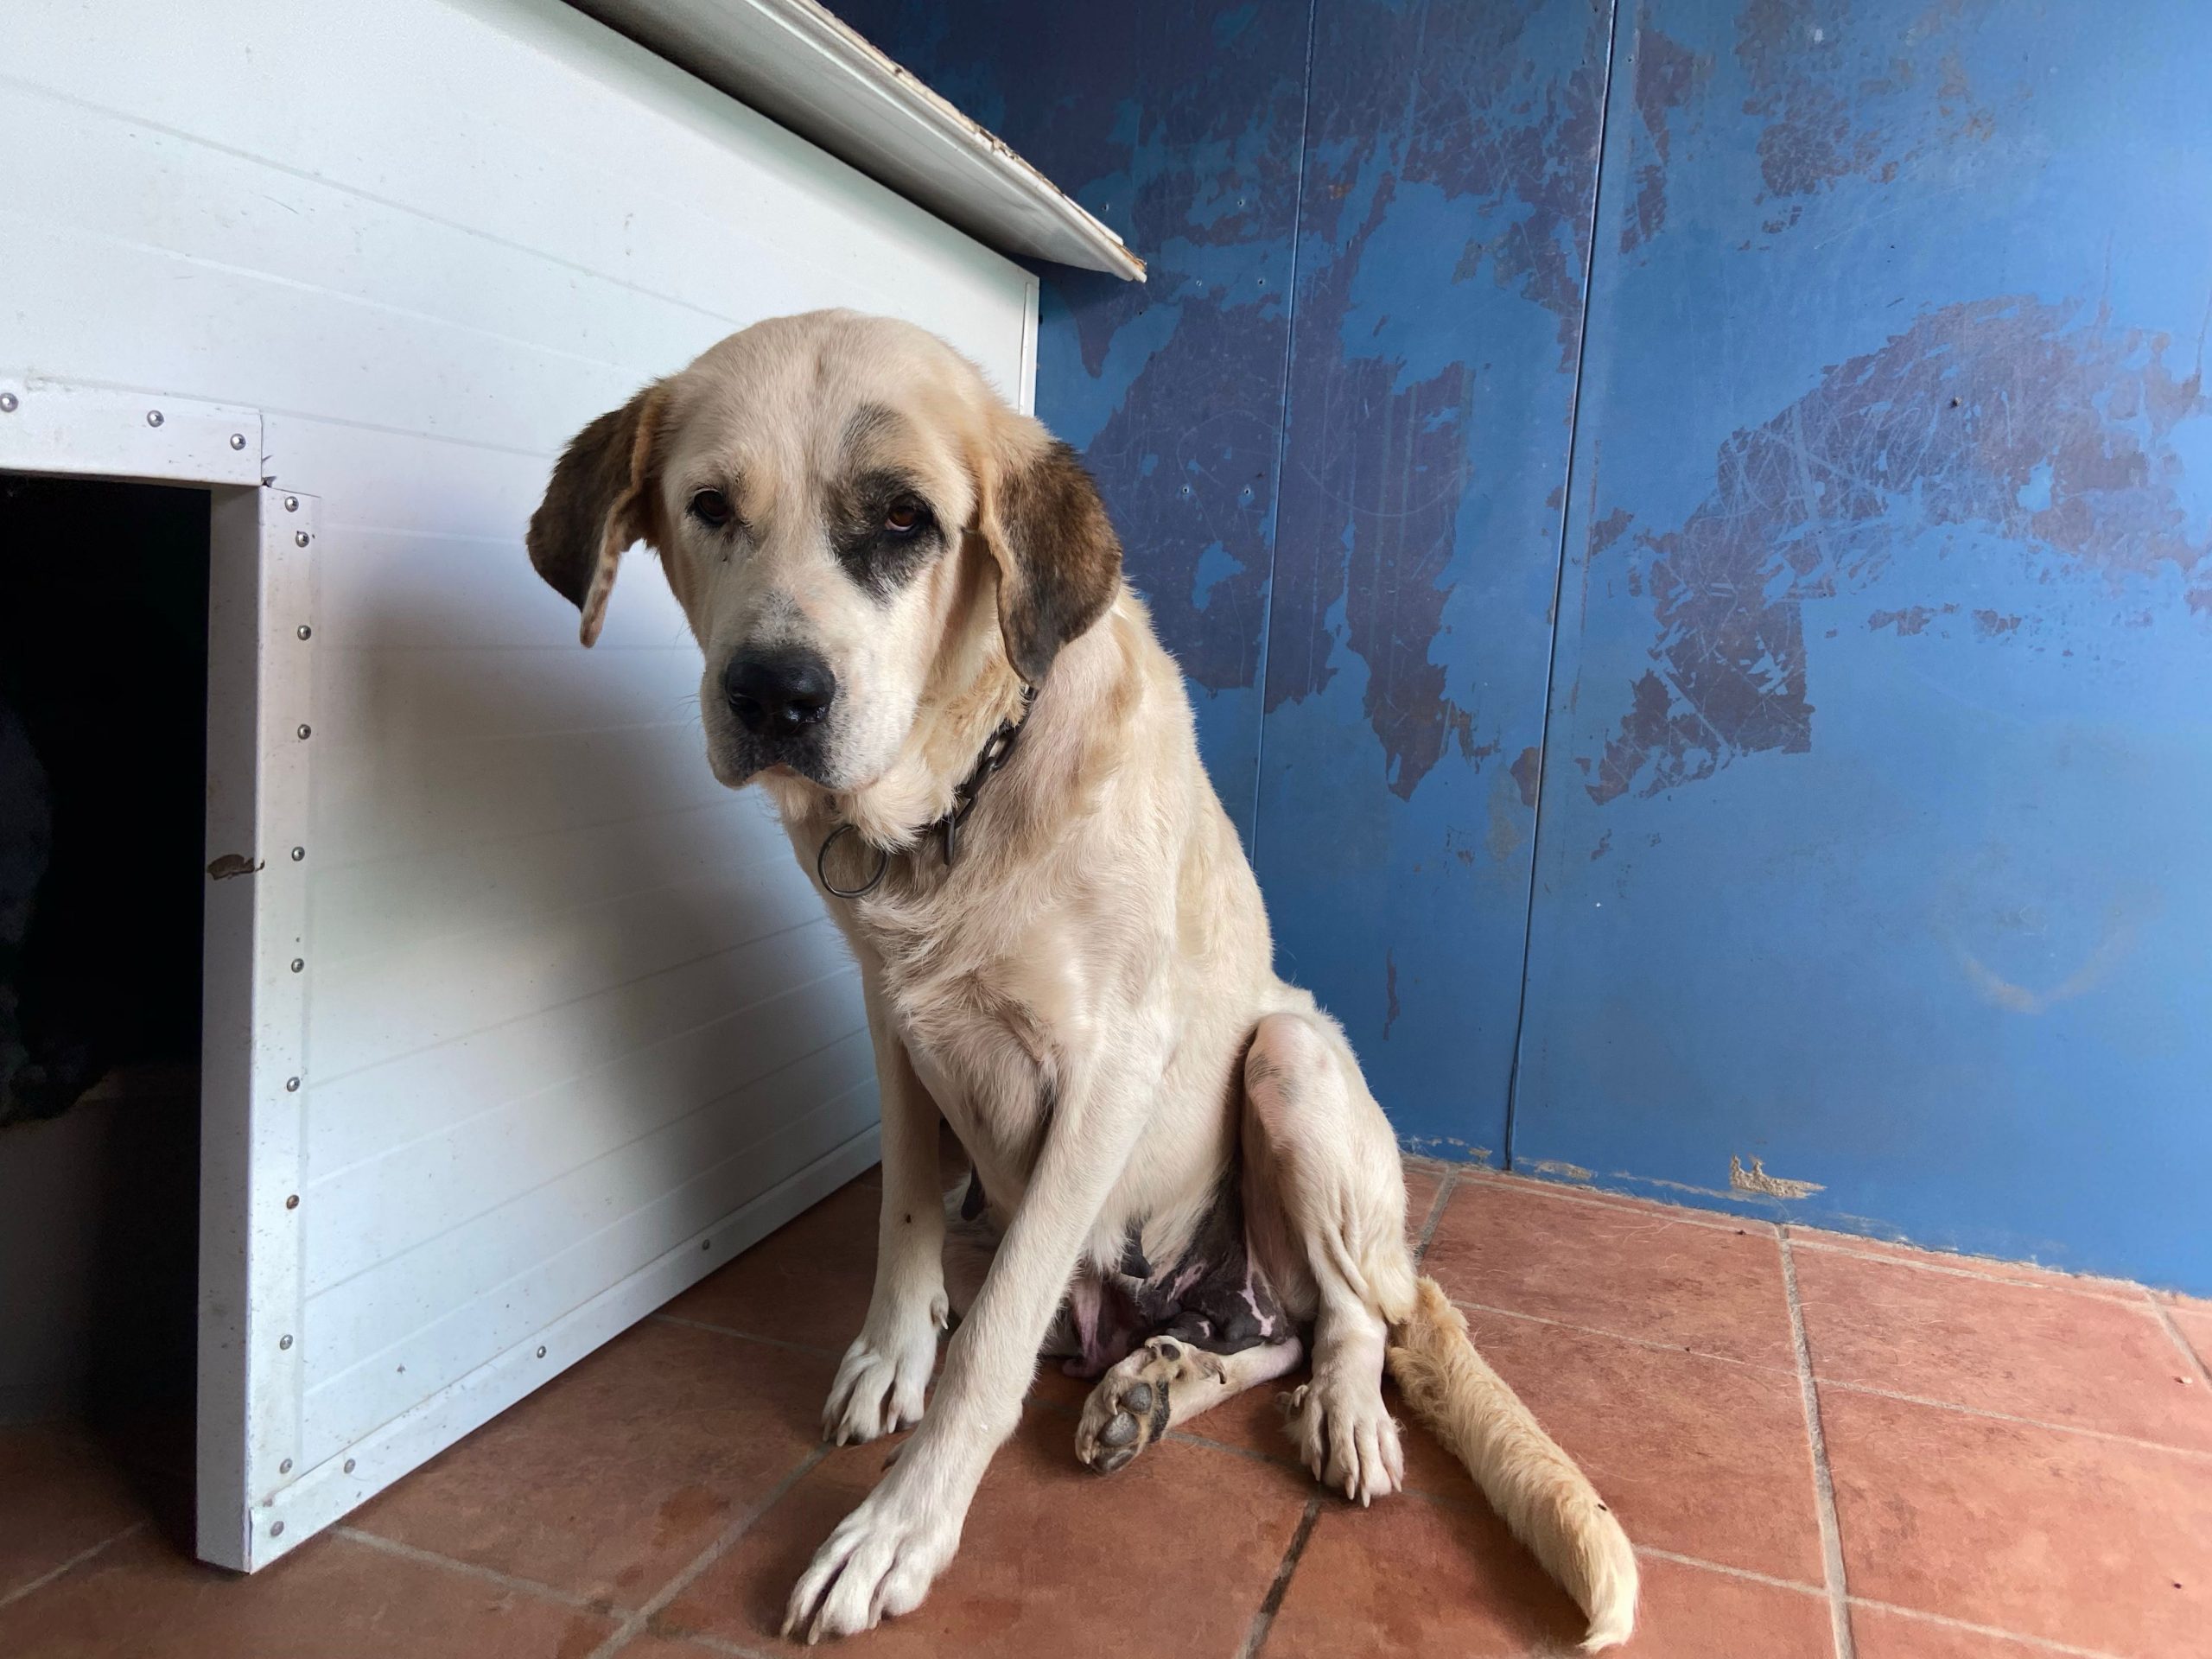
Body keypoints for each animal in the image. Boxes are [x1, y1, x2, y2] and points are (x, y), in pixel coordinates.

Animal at [526, 310, 1637, 1649]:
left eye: (903, 517)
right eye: (708, 507)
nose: (774, 696)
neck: (954, 806)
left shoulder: (1108, 1073)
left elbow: (994, 1339)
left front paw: (900, 1527)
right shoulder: (894, 1027)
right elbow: (904, 1212)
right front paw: (892, 1353)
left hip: (1292, 1062)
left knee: (1350, 1313)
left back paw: (1341, 1409)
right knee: (1265, 1332)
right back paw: (1152, 1386)